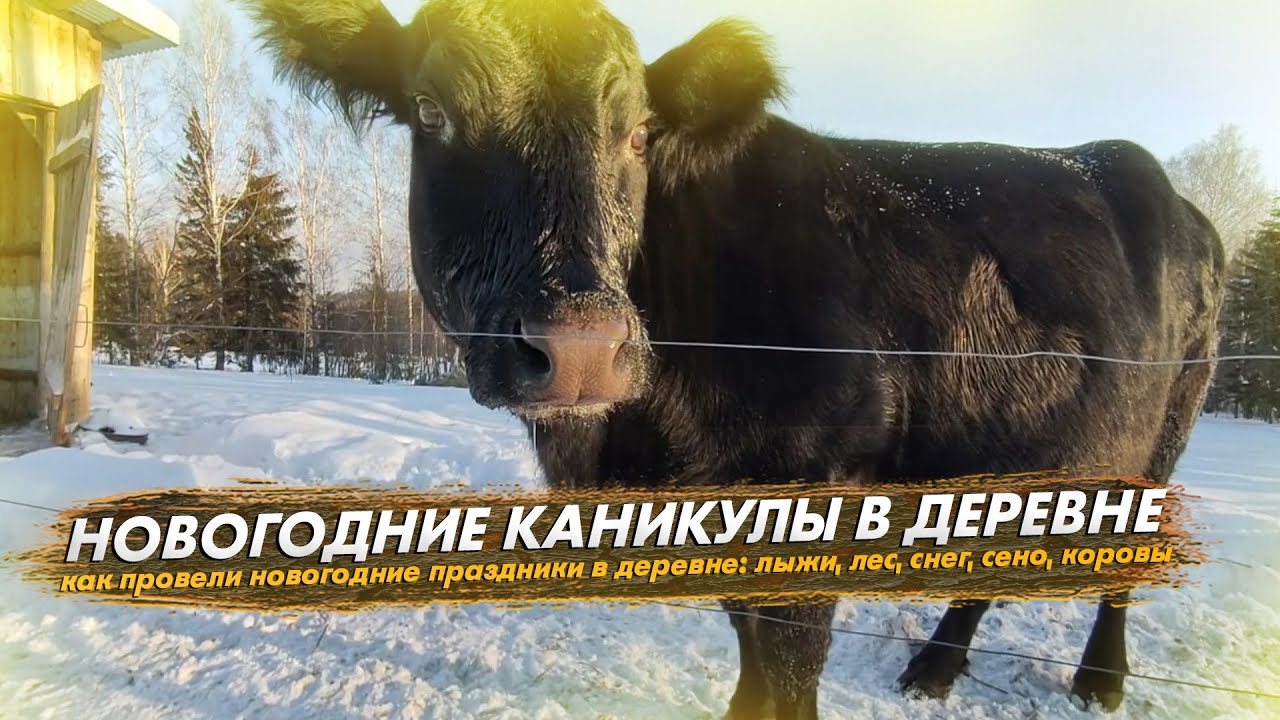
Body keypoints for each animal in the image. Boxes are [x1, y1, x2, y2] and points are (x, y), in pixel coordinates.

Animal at [243, 1, 1225, 718]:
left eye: (638, 131)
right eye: (433, 113)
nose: (580, 346)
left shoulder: (817, 501)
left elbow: (785, 678)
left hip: (1168, 426)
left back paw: (1101, 680)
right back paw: (937, 668)